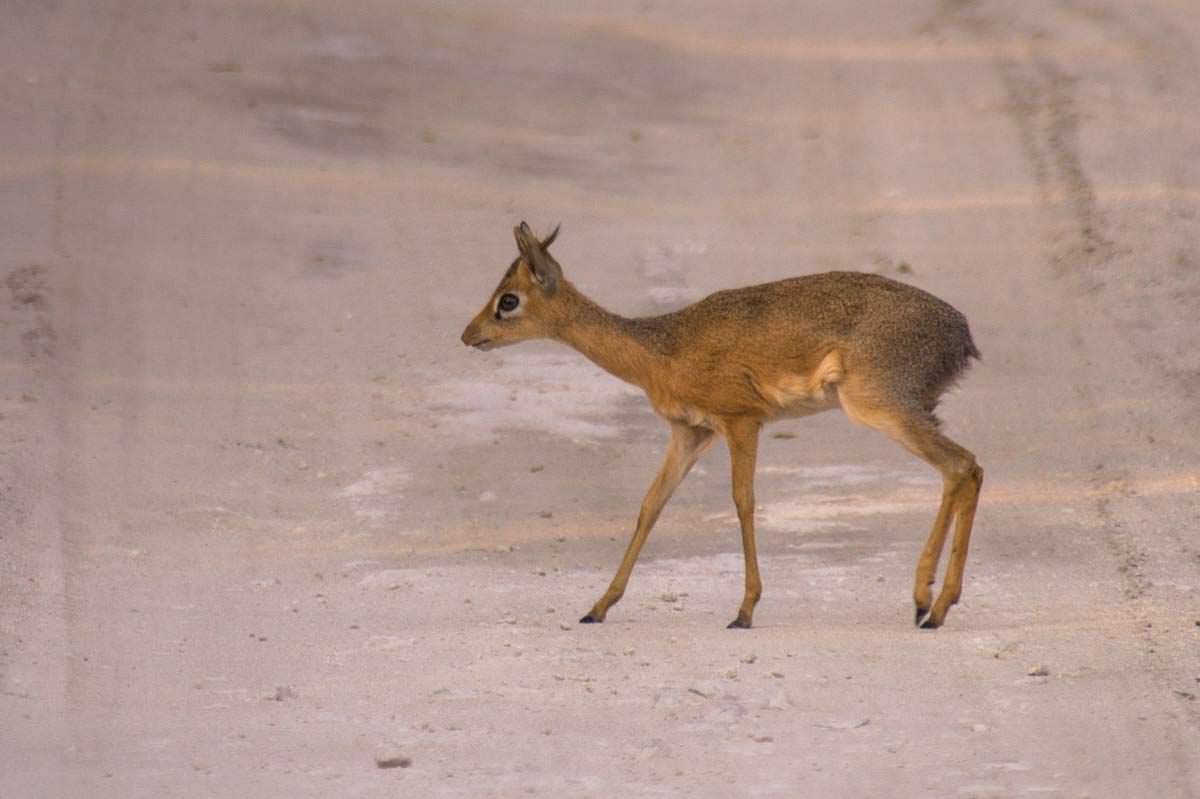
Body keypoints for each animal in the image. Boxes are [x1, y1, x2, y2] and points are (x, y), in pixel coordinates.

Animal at [460, 221, 984, 628]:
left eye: (508, 300)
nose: (468, 335)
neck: (663, 349)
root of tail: (962, 335)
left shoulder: (741, 420)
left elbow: (743, 502)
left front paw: (744, 610)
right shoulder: (690, 432)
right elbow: (650, 506)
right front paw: (598, 606)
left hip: (877, 406)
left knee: (962, 466)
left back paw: (934, 606)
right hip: (912, 409)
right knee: (960, 471)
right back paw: (926, 602)